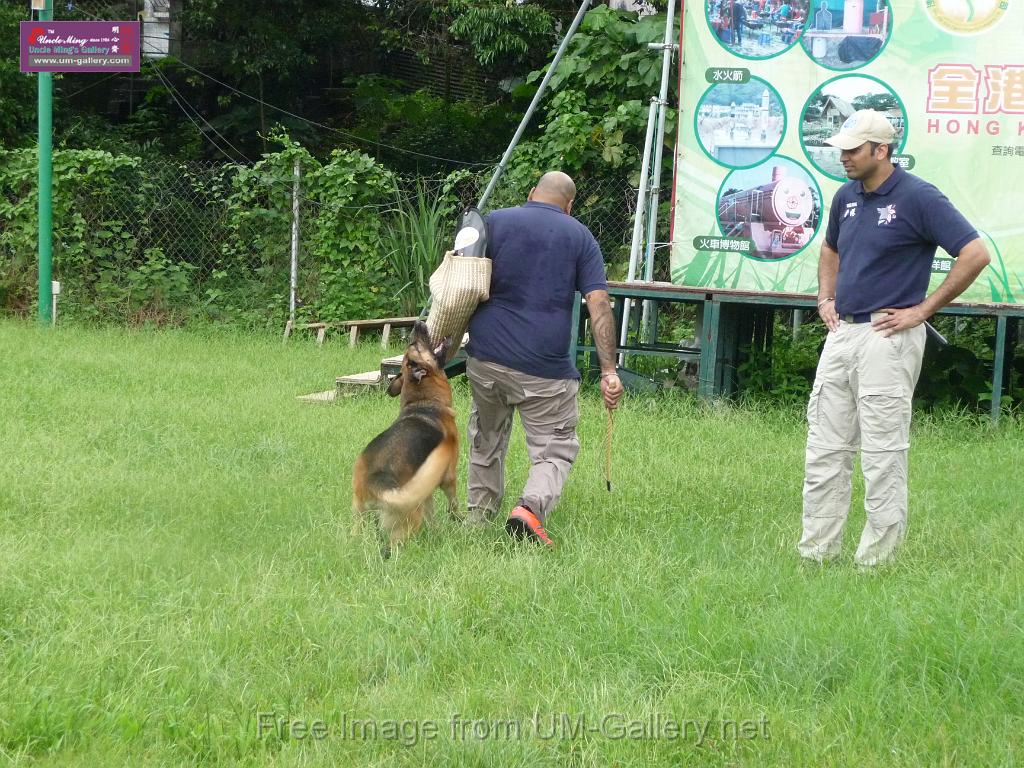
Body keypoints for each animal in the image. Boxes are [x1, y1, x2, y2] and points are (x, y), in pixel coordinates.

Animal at [356, 319, 460, 561]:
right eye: (416, 346)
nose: (418, 322)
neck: (423, 400)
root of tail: (376, 482)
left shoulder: (426, 486)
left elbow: (433, 518)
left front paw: (437, 535)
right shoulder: (448, 477)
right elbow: (453, 505)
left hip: (361, 517)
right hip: (408, 516)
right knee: (395, 549)